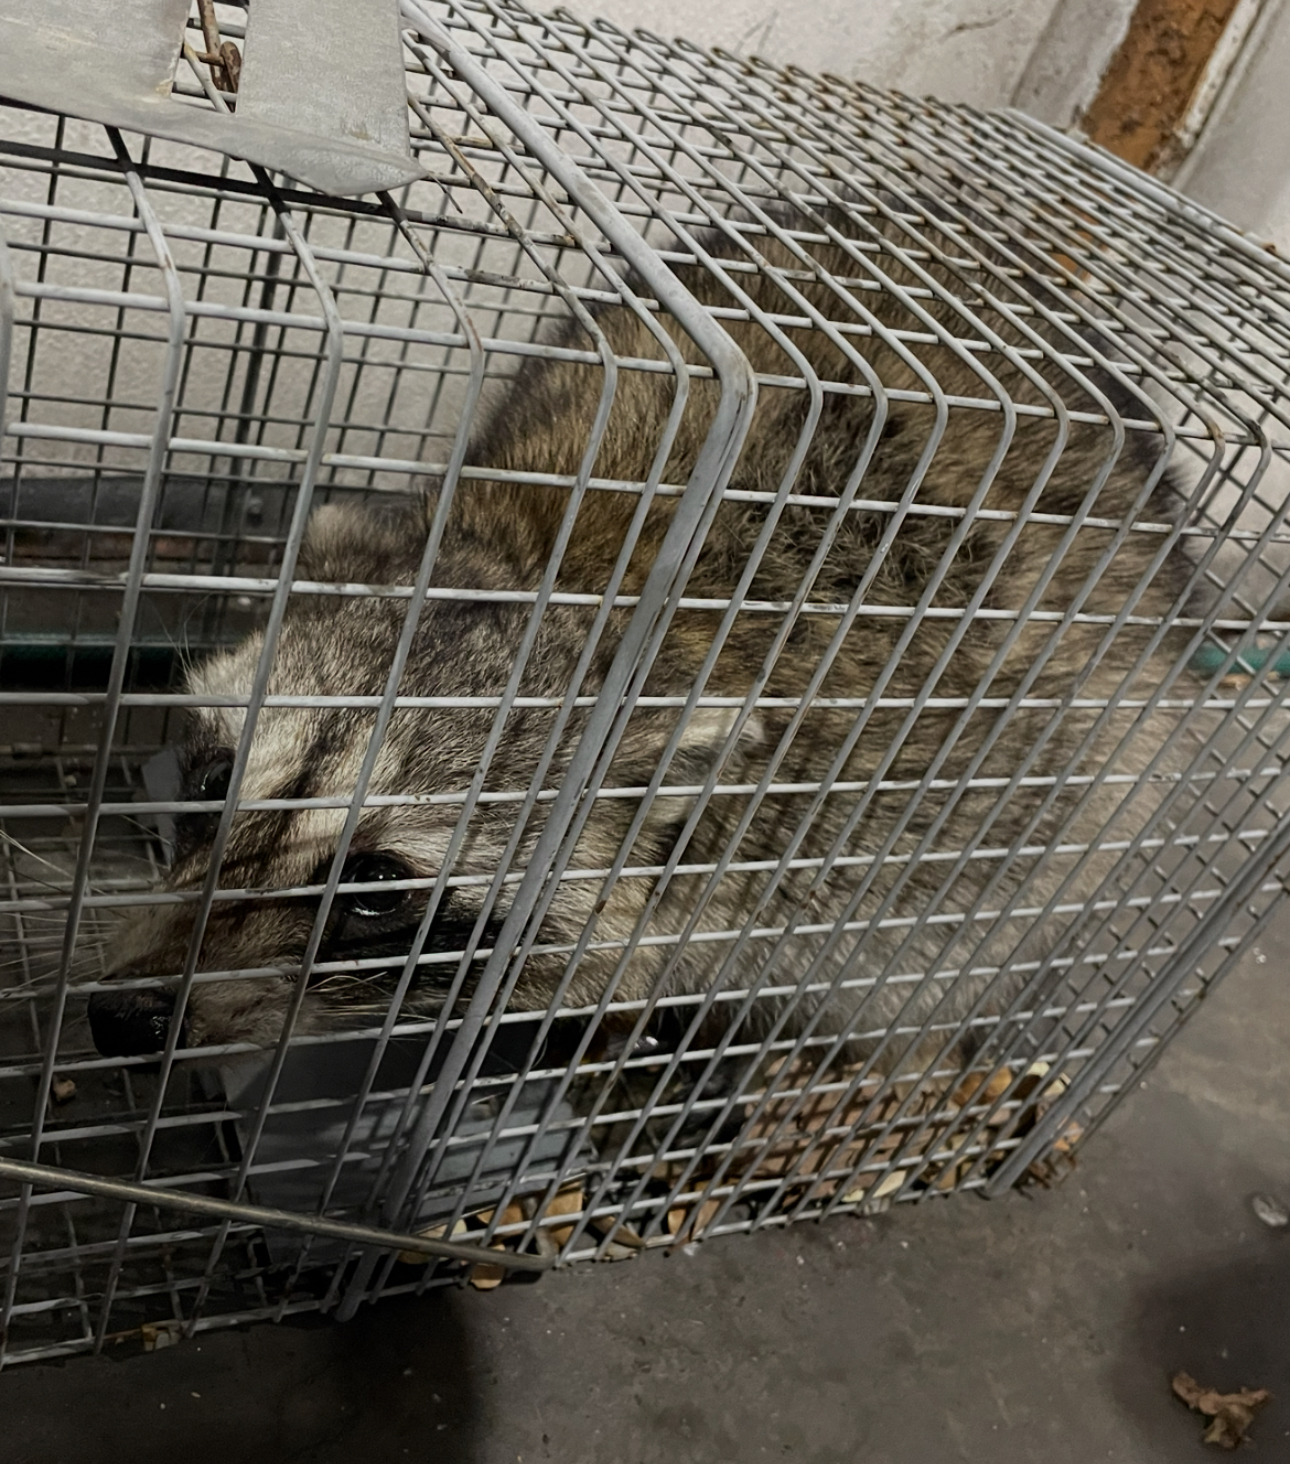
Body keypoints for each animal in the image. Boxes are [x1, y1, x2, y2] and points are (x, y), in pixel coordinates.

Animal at [87, 205, 1193, 1075]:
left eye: (374, 888)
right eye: (210, 781)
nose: (121, 1017)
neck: (577, 588)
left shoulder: (925, 792)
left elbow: (923, 948)